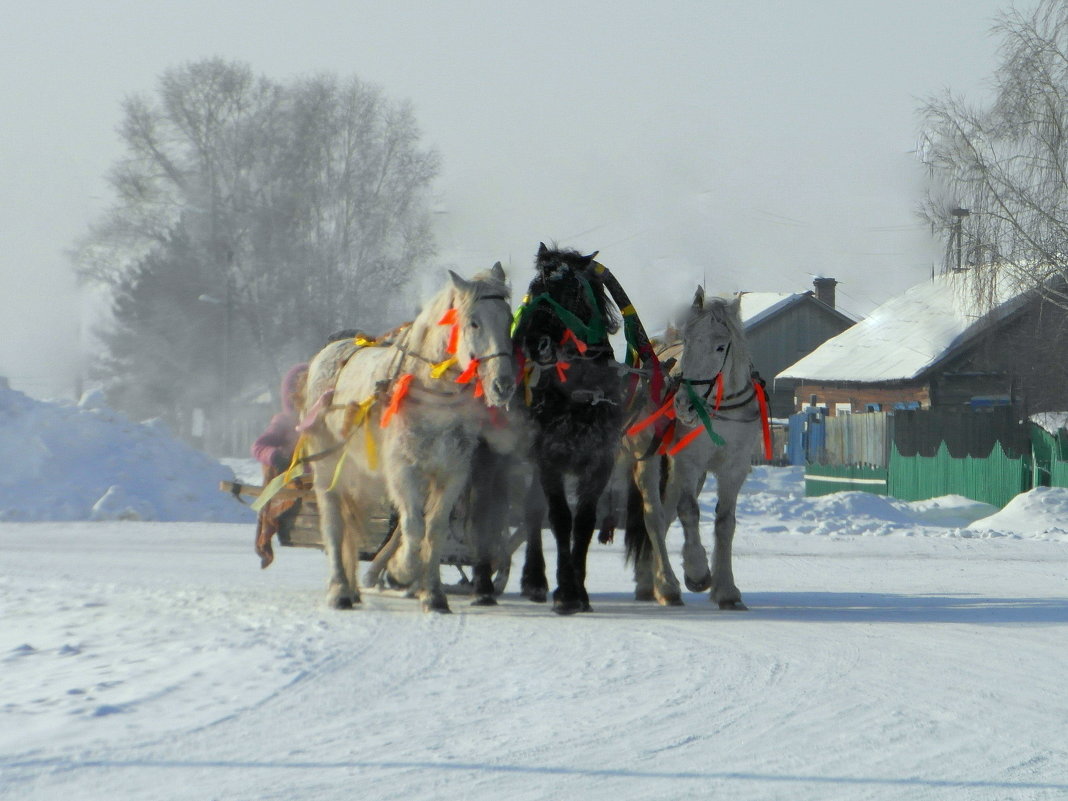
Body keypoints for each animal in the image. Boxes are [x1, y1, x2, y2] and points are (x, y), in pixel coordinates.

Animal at [301, 267, 516, 610]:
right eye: (473, 322)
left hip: (360, 475)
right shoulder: (403, 469)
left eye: (508, 319)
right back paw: (339, 591)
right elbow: (413, 527)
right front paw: (400, 571)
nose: (503, 385)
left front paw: (434, 594)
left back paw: (352, 588)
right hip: (327, 467)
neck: (433, 397)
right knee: (333, 521)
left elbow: (434, 529)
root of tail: (329, 353)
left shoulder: (452, 473)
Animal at [510, 244, 632, 615]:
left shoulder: (600, 460)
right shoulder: (549, 458)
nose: (535, 341)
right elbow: (560, 519)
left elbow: (585, 522)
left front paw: (580, 591)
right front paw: (565, 591)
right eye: (536, 287)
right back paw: (534, 579)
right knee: (533, 510)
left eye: (573, 291)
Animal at [623, 288, 764, 606]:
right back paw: (666, 584)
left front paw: (726, 590)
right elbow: (689, 512)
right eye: (688, 342)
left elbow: (725, 522)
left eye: (720, 347)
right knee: (654, 515)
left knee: (665, 514)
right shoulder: (688, 461)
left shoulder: (735, 468)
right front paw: (698, 573)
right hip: (648, 457)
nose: (684, 403)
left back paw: (649, 581)